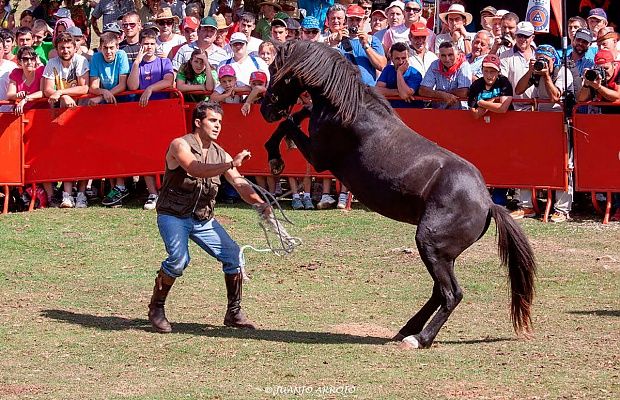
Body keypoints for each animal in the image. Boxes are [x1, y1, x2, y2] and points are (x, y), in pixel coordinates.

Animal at [260, 39, 536, 348]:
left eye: (276, 69)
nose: (265, 108)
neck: (349, 108)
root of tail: (488, 203)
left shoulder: (319, 158)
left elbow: (289, 124)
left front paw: (275, 157)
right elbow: (297, 116)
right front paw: (278, 150)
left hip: (430, 244)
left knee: (451, 294)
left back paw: (419, 339)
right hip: (443, 254)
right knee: (439, 292)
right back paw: (406, 330)